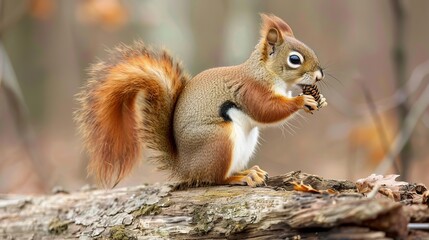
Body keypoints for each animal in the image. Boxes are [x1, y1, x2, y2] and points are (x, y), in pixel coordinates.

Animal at [75, 13, 326, 188]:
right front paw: (302, 101)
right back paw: (240, 177)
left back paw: (249, 171)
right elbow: (266, 110)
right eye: (295, 59)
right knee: (215, 178)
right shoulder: (249, 91)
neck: (264, 73)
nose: (319, 75)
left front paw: (318, 99)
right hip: (219, 140)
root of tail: (185, 167)